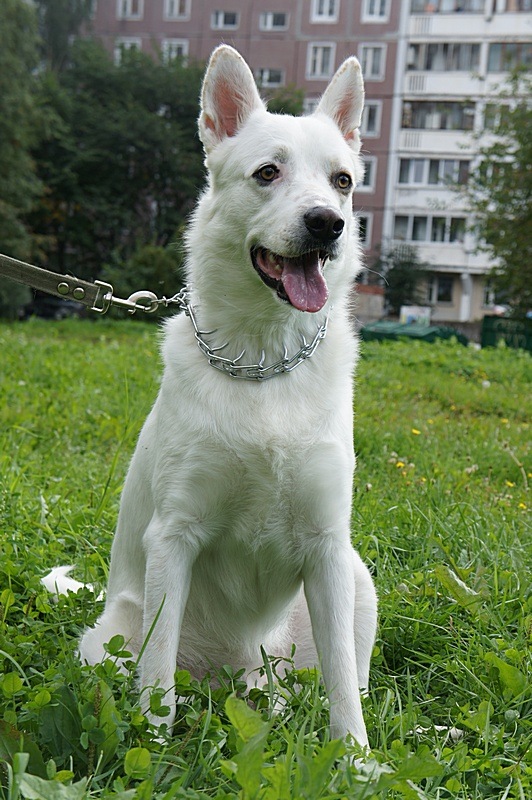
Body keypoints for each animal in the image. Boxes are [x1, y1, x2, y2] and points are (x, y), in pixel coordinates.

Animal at [72, 45, 377, 749]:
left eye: (343, 181)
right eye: (267, 172)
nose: (328, 224)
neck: (263, 364)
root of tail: (231, 680)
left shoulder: (328, 549)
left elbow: (344, 691)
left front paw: (357, 761)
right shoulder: (173, 538)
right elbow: (156, 680)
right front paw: (153, 752)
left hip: (357, 581)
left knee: (327, 680)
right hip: (105, 643)